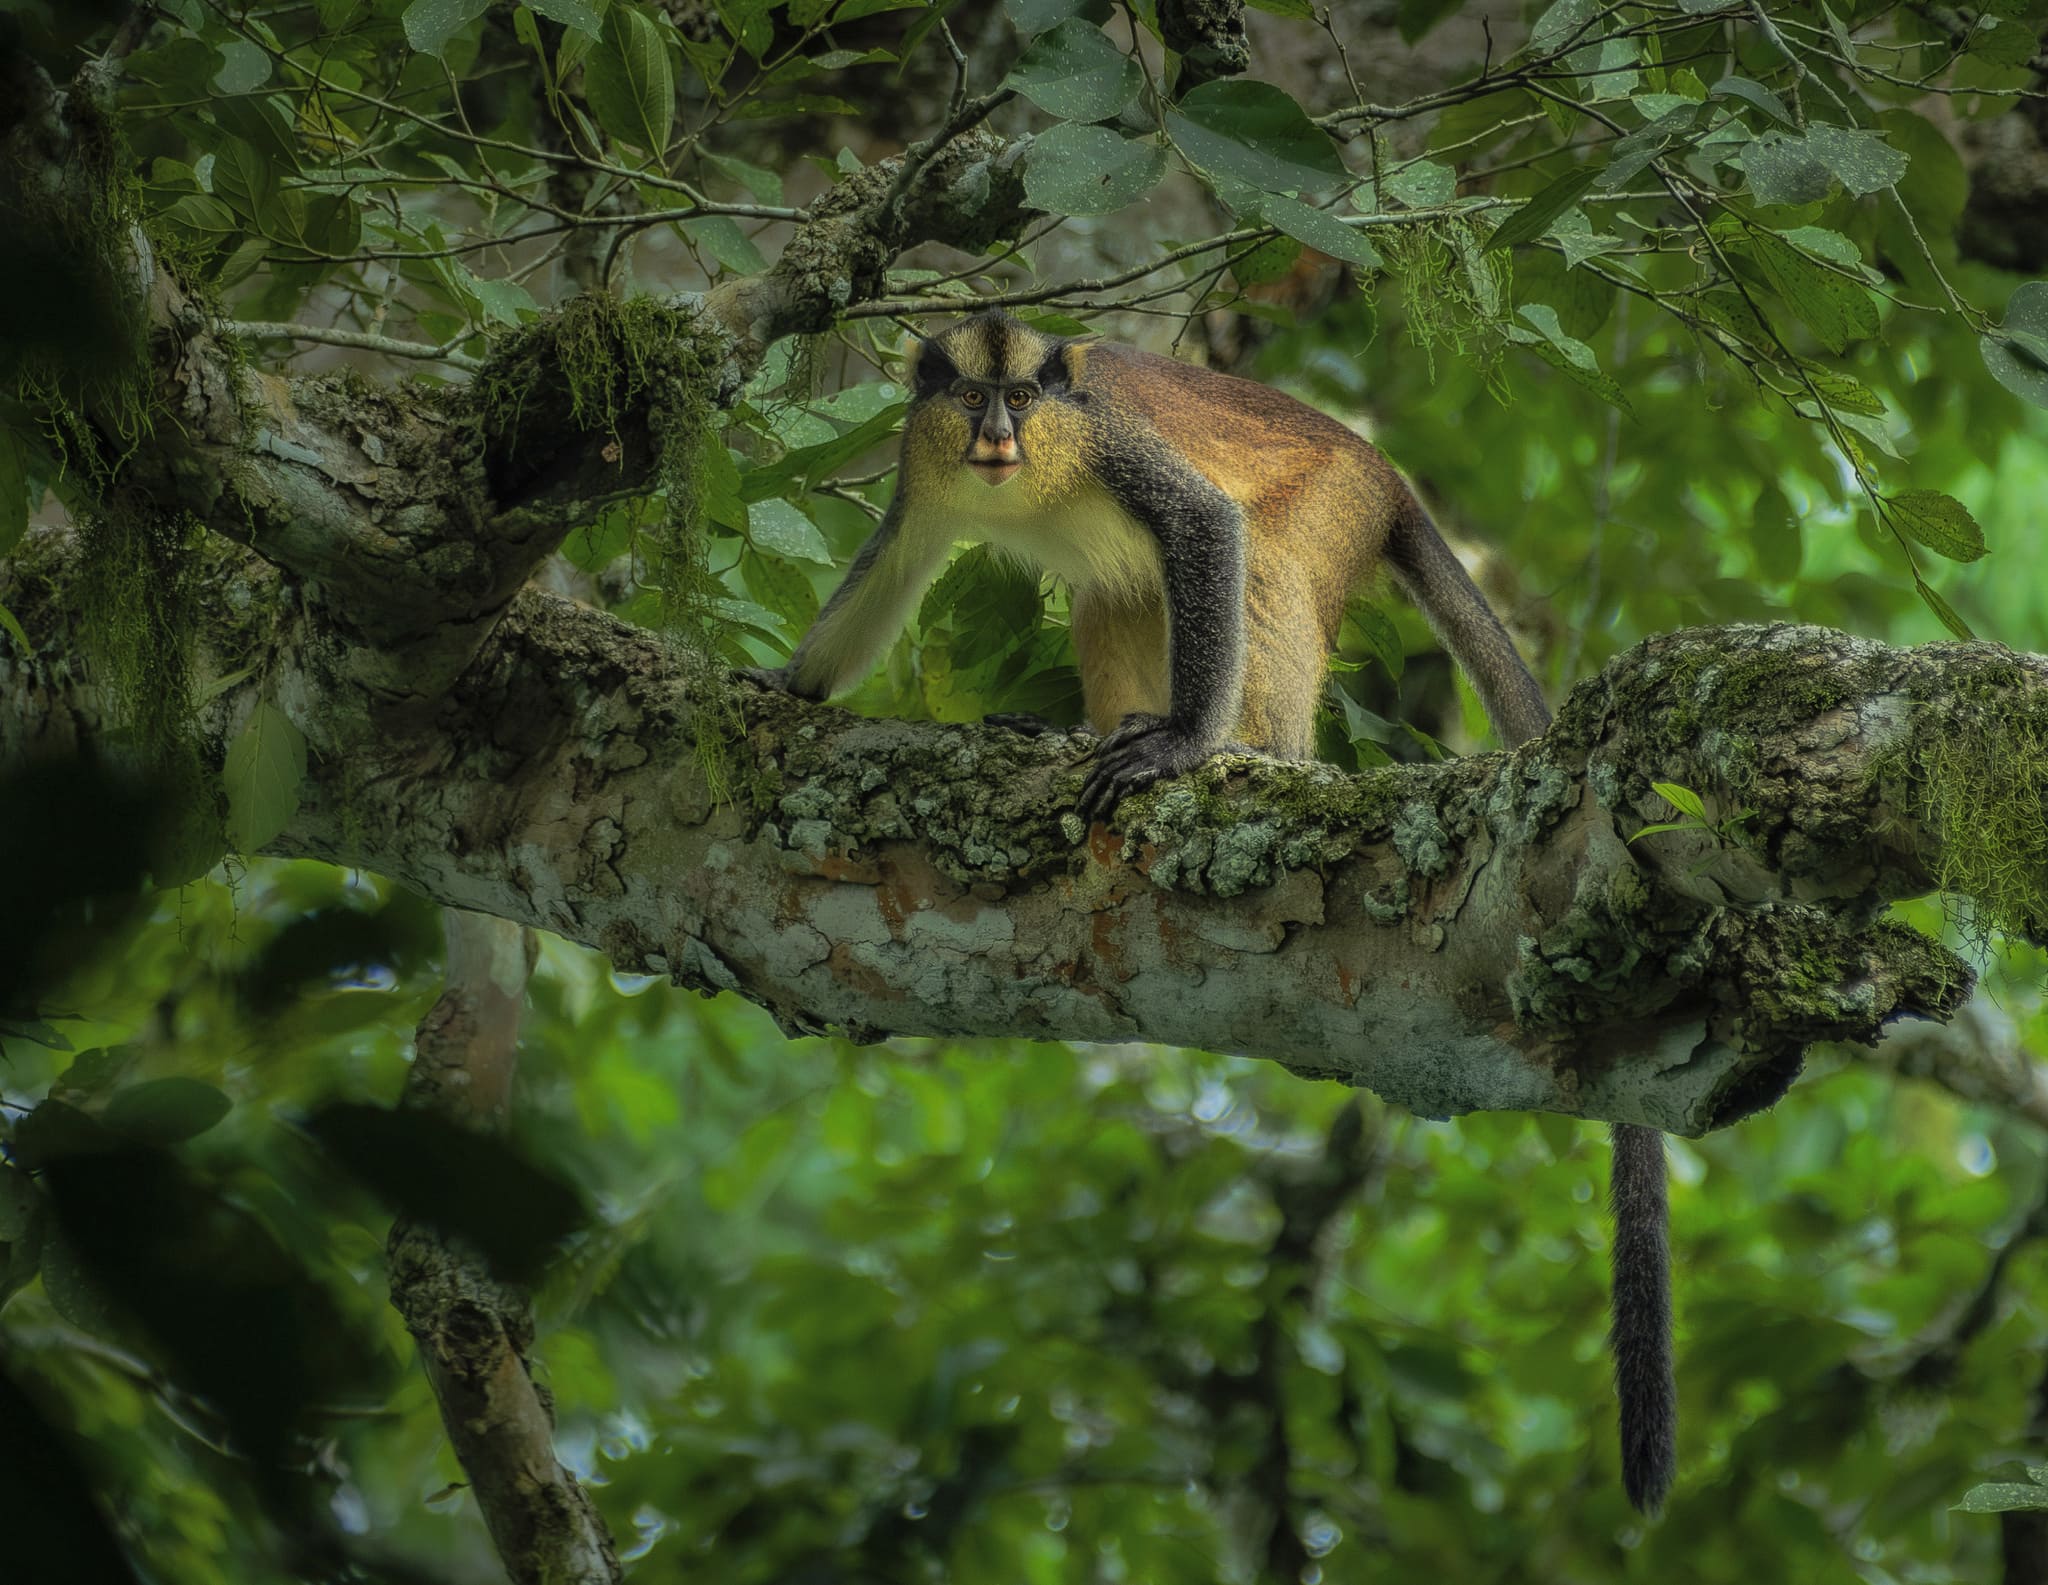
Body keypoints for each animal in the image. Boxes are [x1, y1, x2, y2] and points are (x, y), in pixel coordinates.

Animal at [740, 307, 1678, 1514]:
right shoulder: (921, 469)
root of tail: (1385, 471)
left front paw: (1184, 745)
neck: (1026, 474)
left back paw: (1239, 750)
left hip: (1332, 508)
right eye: (972, 398)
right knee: (1115, 595)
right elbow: (893, 561)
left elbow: (1204, 524)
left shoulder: (1116, 450)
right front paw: (785, 685)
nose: (997, 435)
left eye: (1026, 401)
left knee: (1260, 563)